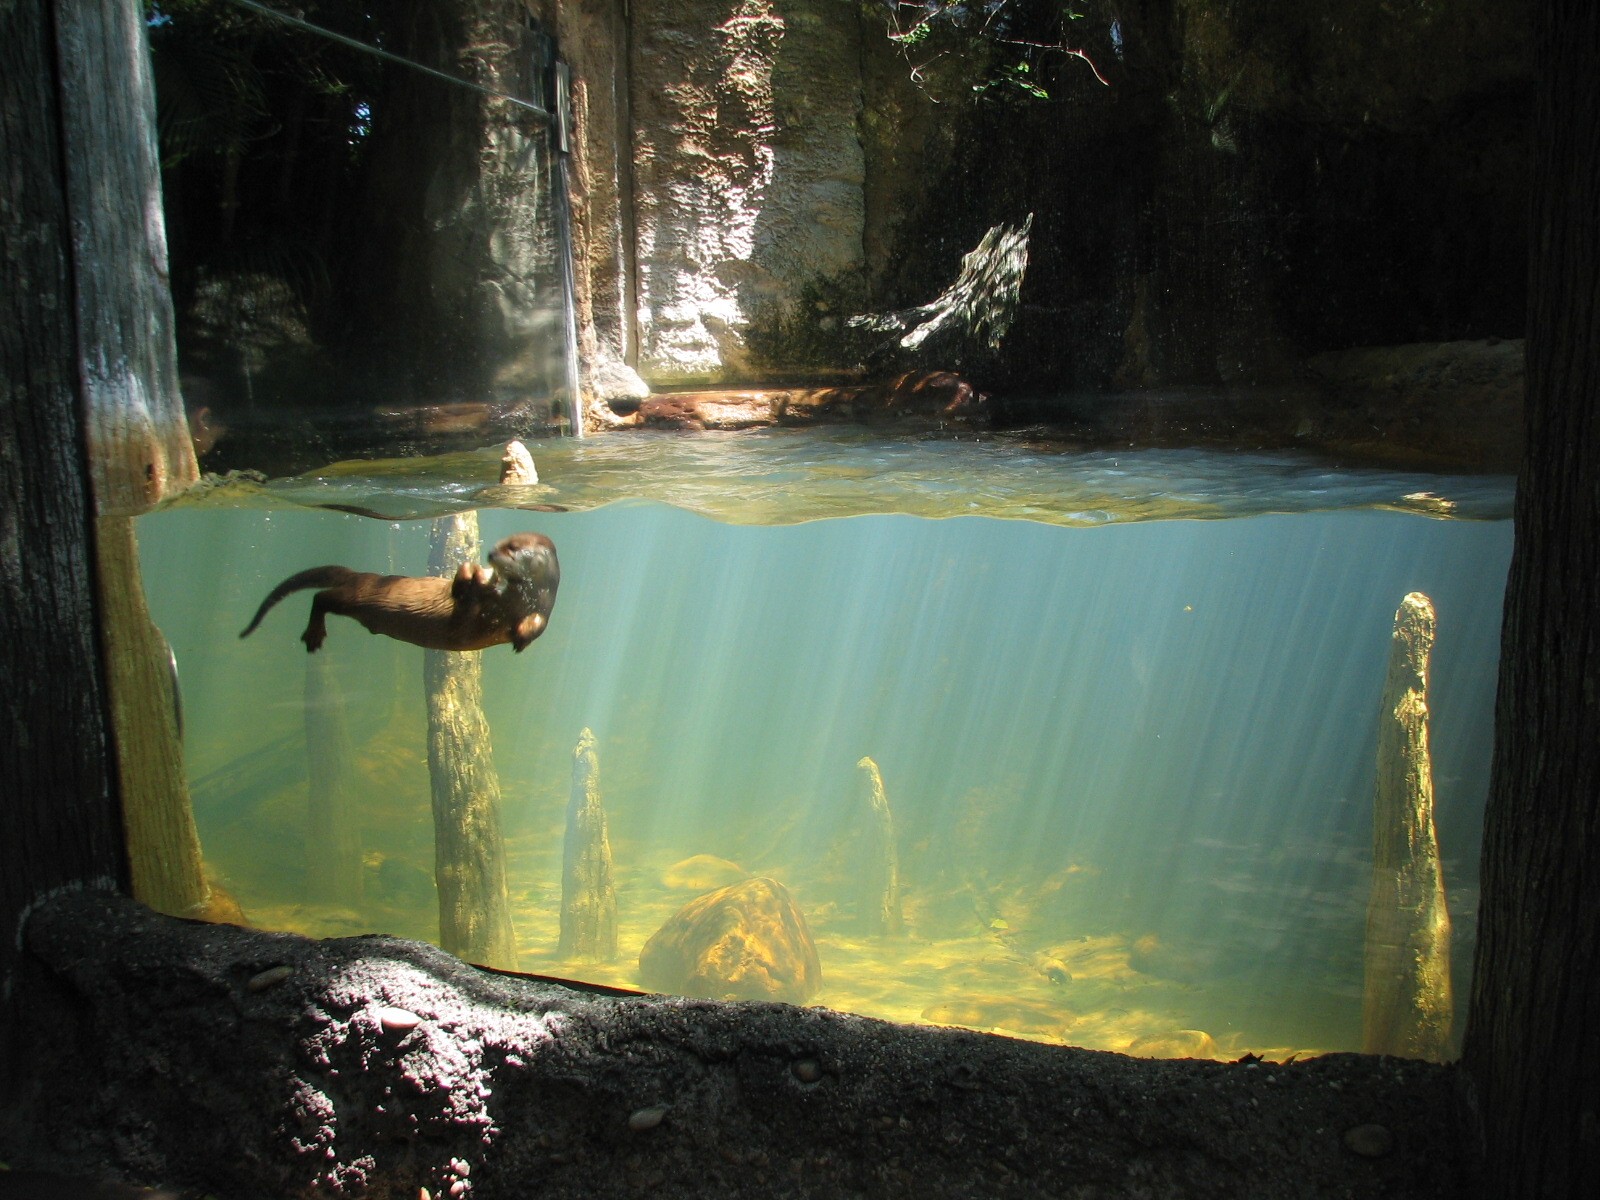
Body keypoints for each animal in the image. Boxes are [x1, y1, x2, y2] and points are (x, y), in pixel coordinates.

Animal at [239, 532, 559, 654]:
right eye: (499, 543)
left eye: (513, 548)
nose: (491, 553)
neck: (512, 602)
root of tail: (362, 575)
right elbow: (464, 590)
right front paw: (473, 575)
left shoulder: (543, 609)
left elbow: (538, 625)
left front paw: (522, 635)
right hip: (361, 596)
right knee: (322, 598)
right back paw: (314, 634)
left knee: (324, 597)